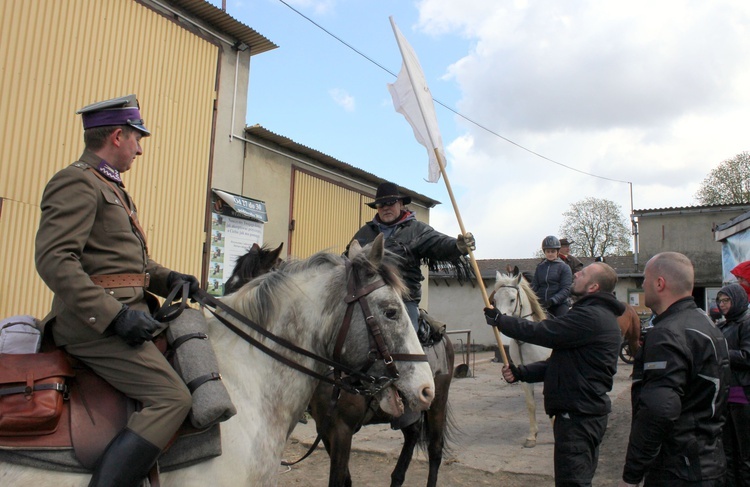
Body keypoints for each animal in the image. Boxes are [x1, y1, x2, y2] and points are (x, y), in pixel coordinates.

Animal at [494, 272, 552, 448]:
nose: (499, 321)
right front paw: (532, 436)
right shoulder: (524, 376)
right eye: (495, 299)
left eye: (513, 299)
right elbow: (531, 404)